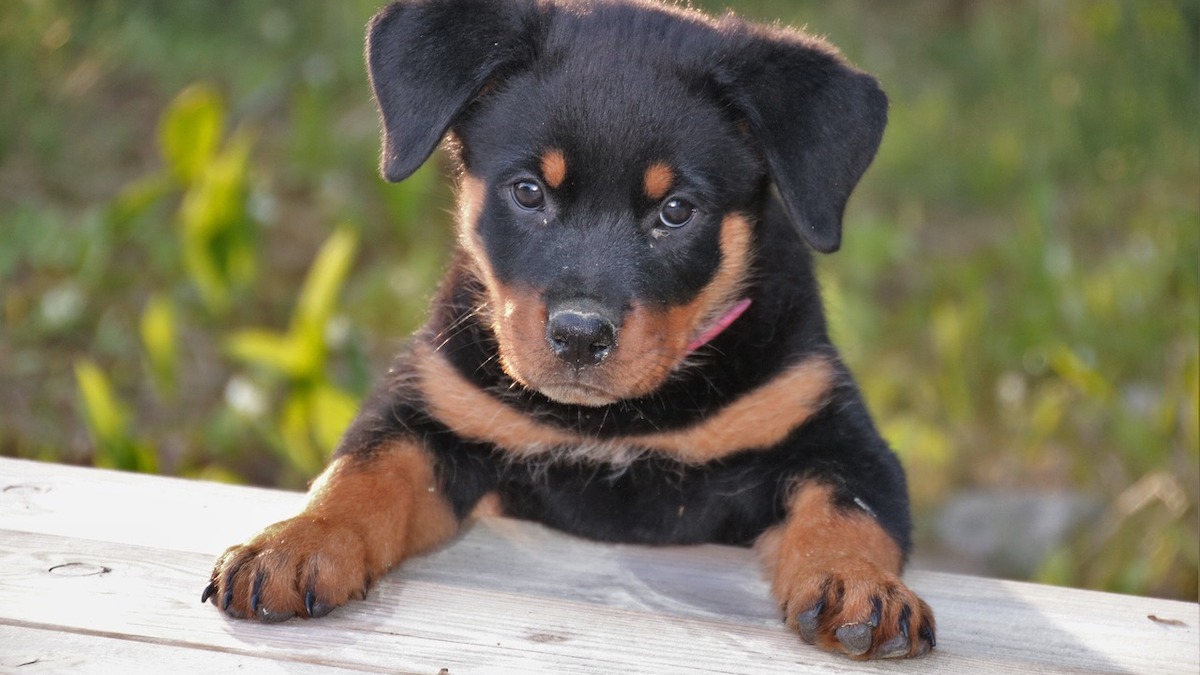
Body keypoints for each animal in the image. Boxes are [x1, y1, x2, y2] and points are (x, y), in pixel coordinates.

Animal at [204, 0, 936, 658]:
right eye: (529, 191)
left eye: (677, 211)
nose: (581, 335)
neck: (613, 425)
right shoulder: (433, 410)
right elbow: (363, 470)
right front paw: (295, 544)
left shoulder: (835, 434)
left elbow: (848, 512)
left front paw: (858, 586)